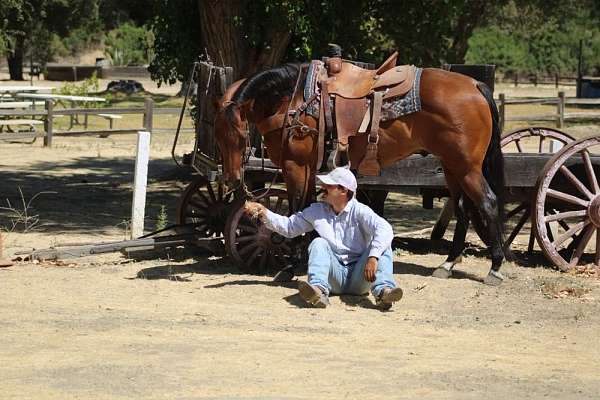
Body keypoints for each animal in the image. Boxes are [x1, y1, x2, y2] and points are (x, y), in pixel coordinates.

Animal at [216, 62, 506, 282]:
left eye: (239, 136)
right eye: (219, 136)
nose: (231, 179)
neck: (292, 100)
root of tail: (474, 85)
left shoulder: (295, 166)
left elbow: (298, 208)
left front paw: (290, 265)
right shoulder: (308, 168)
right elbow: (307, 209)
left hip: (466, 168)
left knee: (488, 203)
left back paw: (495, 267)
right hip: (452, 167)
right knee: (463, 207)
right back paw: (447, 264)